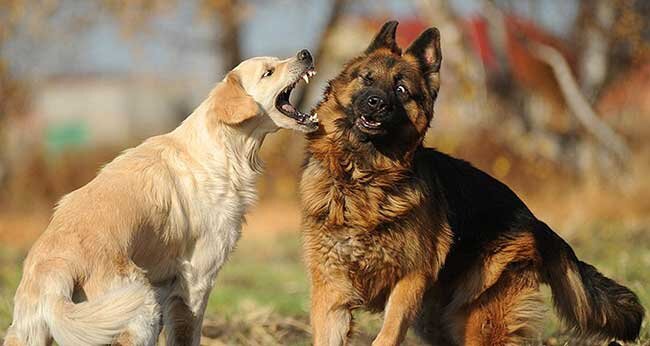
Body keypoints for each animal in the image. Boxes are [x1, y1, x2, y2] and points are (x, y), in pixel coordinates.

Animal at [3, 49, 318, 346]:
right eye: (268, 72)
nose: (305, 54)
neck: (223, 148)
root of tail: (54, 269)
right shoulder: (197, 279)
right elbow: (188, 334)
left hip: (29, 332)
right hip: (141, 310)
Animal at [300, 21, 644, 346]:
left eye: (400, 90)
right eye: (366, 79)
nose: (375, 103)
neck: (361, 179)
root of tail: (536, 222)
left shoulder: (409, 281)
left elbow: (387, 335)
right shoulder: (332, 294)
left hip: (478, 321)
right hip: (436, 321)